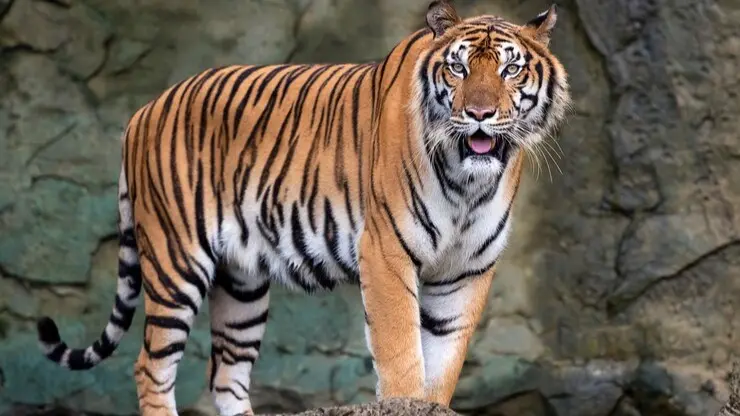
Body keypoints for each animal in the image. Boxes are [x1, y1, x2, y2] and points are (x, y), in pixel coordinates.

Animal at [35, 1, 570, 415]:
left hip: (242, 284)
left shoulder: (467, 269)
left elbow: (444, 365)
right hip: (176, 262)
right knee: (151, 367)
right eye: (458, 68)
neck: (467, 183)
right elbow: (401, 352)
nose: (479, 114)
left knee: (225, 374)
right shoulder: (387, 252)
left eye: (510, 69)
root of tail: (143, 111)